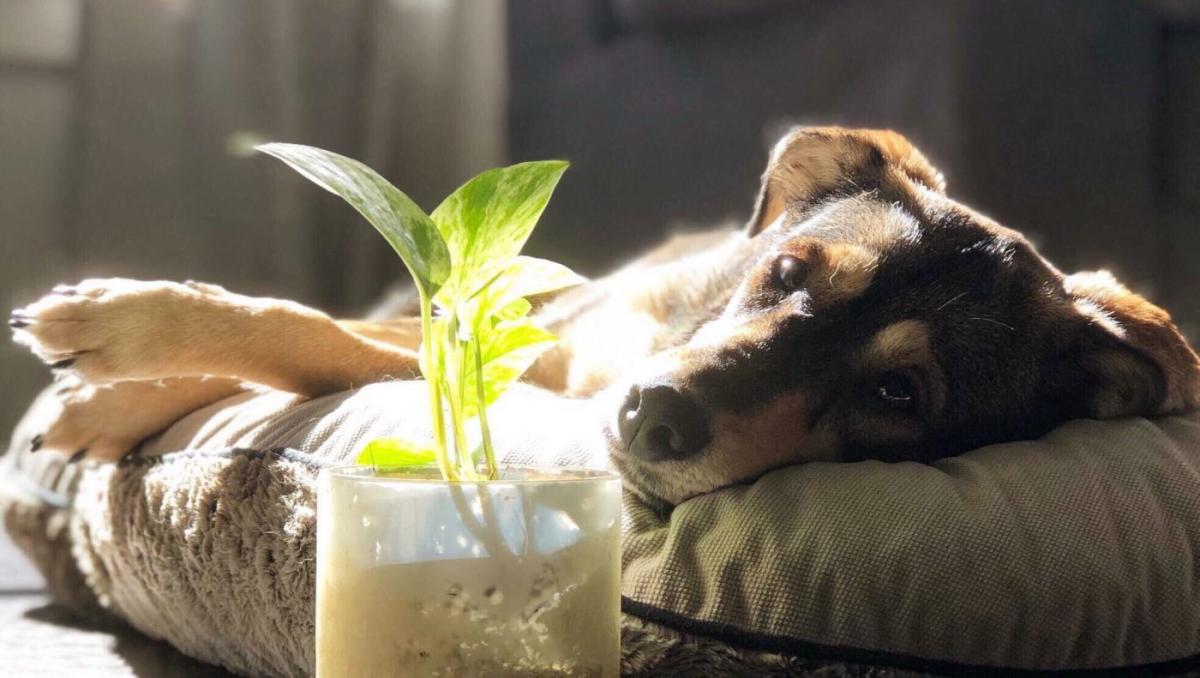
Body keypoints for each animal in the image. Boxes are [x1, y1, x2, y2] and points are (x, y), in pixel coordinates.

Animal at [9, 127, 1200, 511]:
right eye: (786, 273)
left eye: (898, 392)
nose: (652, 415)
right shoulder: (518, 334)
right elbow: (313, 328)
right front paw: (113, 359)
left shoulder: (494, 359)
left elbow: (323, 343)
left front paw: (108, 375)